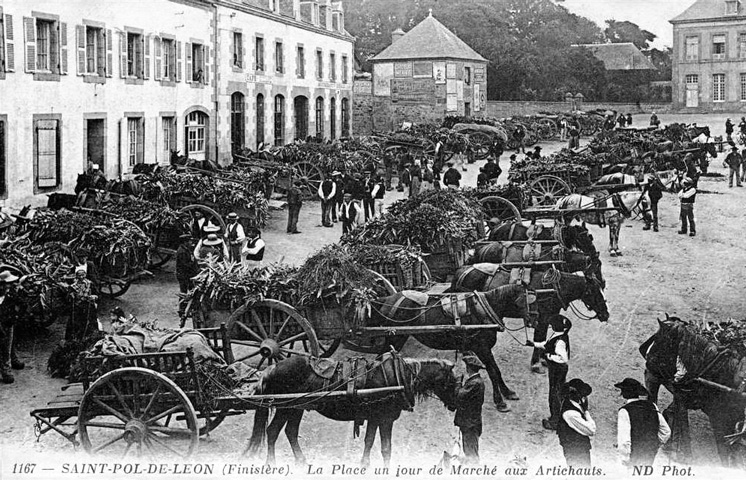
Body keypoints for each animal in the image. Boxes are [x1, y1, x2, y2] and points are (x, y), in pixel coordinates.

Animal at [244, 350, 456, 466]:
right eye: (452, 381)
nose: (454, 405)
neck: (399, 375)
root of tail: (270, 369)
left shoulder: (376, 418)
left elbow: (373, 443)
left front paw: (366, 465)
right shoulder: (384, 418)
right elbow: (383, 447)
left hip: (298, 408)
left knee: (289, 432)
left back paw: (302, 462)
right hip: (287, 408)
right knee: (272, 432)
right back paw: (272, 463)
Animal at [364, 284, 532, 412]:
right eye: (522, 301)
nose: (532, 320)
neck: (483, 310)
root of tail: (387, 299)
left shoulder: (484, 349)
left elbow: (496, 370)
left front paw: (508, 392)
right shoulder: (482, 348)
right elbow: (492, 372)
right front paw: (500, 402)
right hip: (395, 337)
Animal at [450, 266, 608, 376]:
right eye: (593, 291)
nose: (606, 314)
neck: (553, 289)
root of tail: (461, 270)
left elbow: (543, 339)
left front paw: (543, 360)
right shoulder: (542, 319)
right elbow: (539, 338)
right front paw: (536, 365)